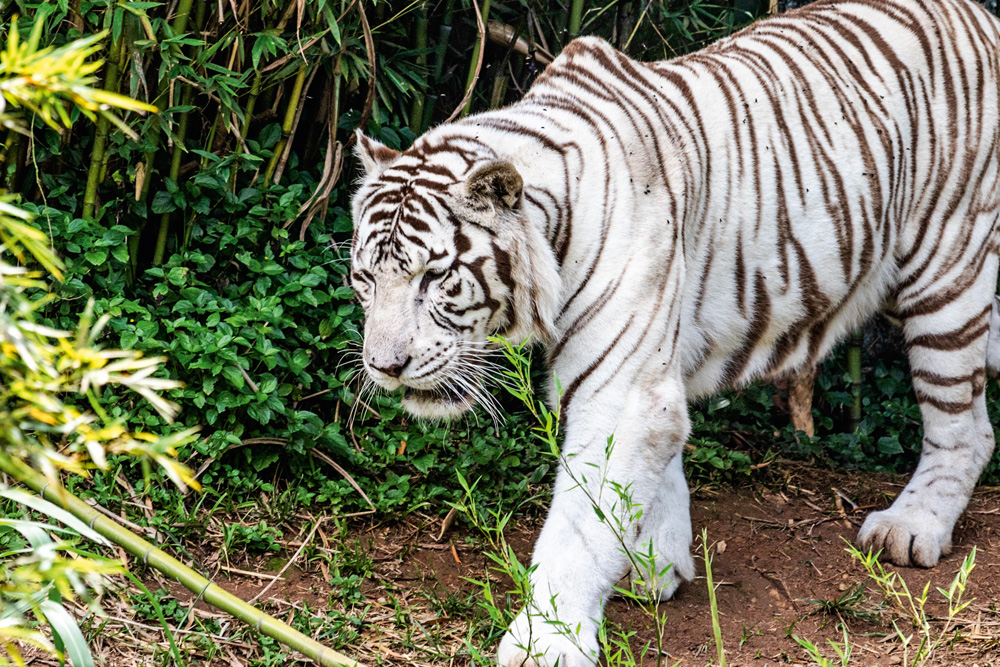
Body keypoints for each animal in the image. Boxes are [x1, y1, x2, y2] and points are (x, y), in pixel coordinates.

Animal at [349, 0, 1000, 664]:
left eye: (435, 277)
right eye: (366, 278)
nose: (384, 366)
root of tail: (981, 17)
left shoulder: (621, 387)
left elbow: (580, 523)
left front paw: (547, 639)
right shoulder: (650, 367)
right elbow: (653, 477)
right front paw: (654, 563)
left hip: (944, 272)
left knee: (964, 427)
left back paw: (911, 527)